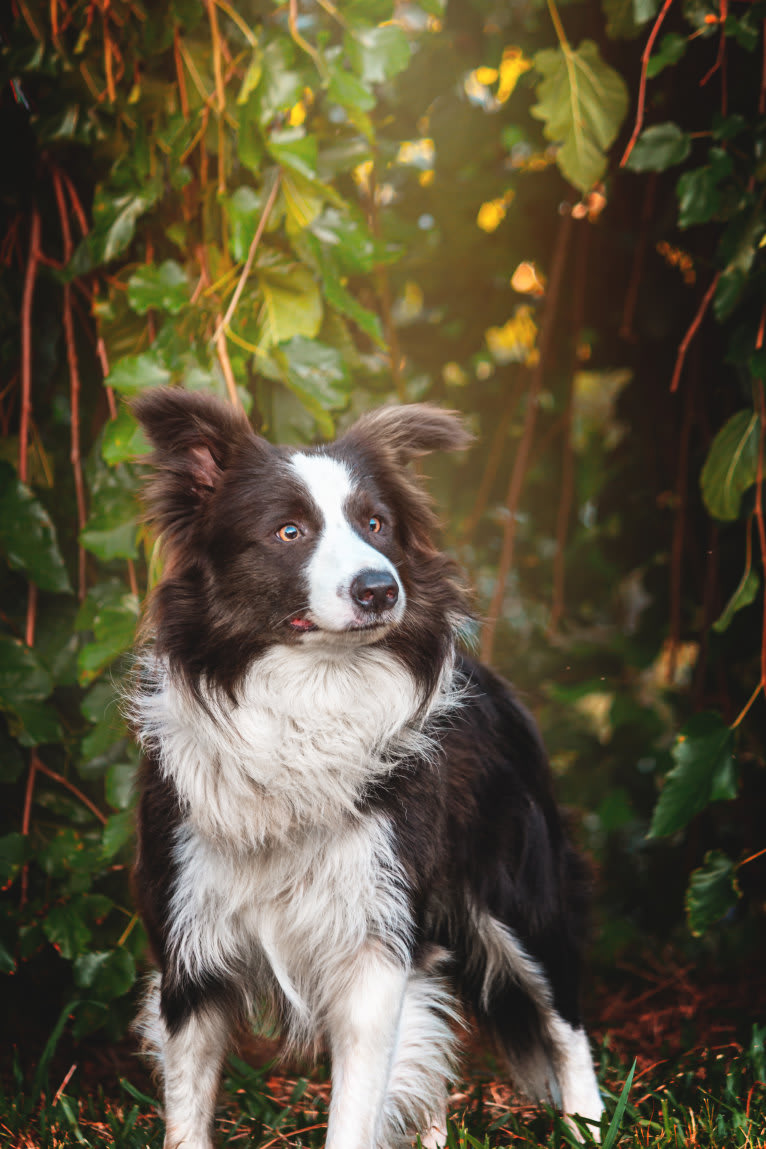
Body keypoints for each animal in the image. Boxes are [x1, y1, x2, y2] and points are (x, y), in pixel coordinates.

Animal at [128, 390, 601, 1144]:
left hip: (521, 890)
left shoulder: (372, 943)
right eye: (289, 531)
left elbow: (358, 1105)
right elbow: (187, 1110)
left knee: (564, 1019)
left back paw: (588, 1121)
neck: (313, 694)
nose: (380, 588)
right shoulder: (186, 943)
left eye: (376, 524)